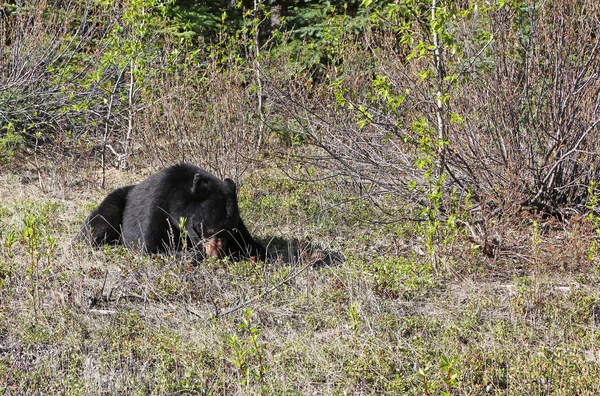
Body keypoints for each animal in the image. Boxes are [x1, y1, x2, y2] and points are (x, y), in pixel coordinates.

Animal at [79, 162, 264, 262]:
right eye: (208, 230)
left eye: (229, 232)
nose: (215, 256)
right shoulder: (158, 207)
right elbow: (152, 246)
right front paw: (192, 253)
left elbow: (252, 244)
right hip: (116, 202)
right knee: (99, 223)